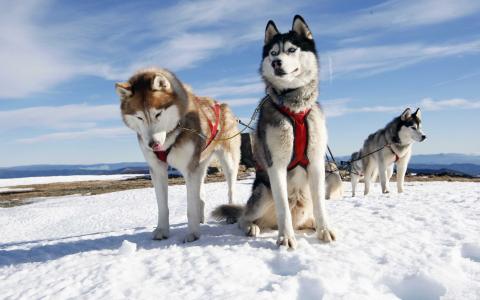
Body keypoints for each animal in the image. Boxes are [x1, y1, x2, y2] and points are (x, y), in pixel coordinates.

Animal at [115, 68, 242, 241]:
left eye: (158, 114)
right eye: (139, 117)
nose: (153, 145)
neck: (172, 133)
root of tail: (221, 105)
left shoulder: (189, 169)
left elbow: (190, 207)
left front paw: (193, 233)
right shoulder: (157, 169)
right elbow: (162, 206)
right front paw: (162, 230)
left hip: (228, 161)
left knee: (230, 189)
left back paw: (230, 213)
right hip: (200, 164)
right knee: (200, 193)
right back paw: (201, 217)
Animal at [214, 14, 334, 248]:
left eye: (291, 49)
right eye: (273, 53)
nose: (276, 62)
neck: (295, 107)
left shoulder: (316, 163)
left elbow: (321, 205)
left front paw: (325, 230)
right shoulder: (276, 165)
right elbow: (283, 208)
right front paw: (286, 238)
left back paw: (312, 224)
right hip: (262, 191)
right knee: (244, 217)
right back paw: (252, 227)